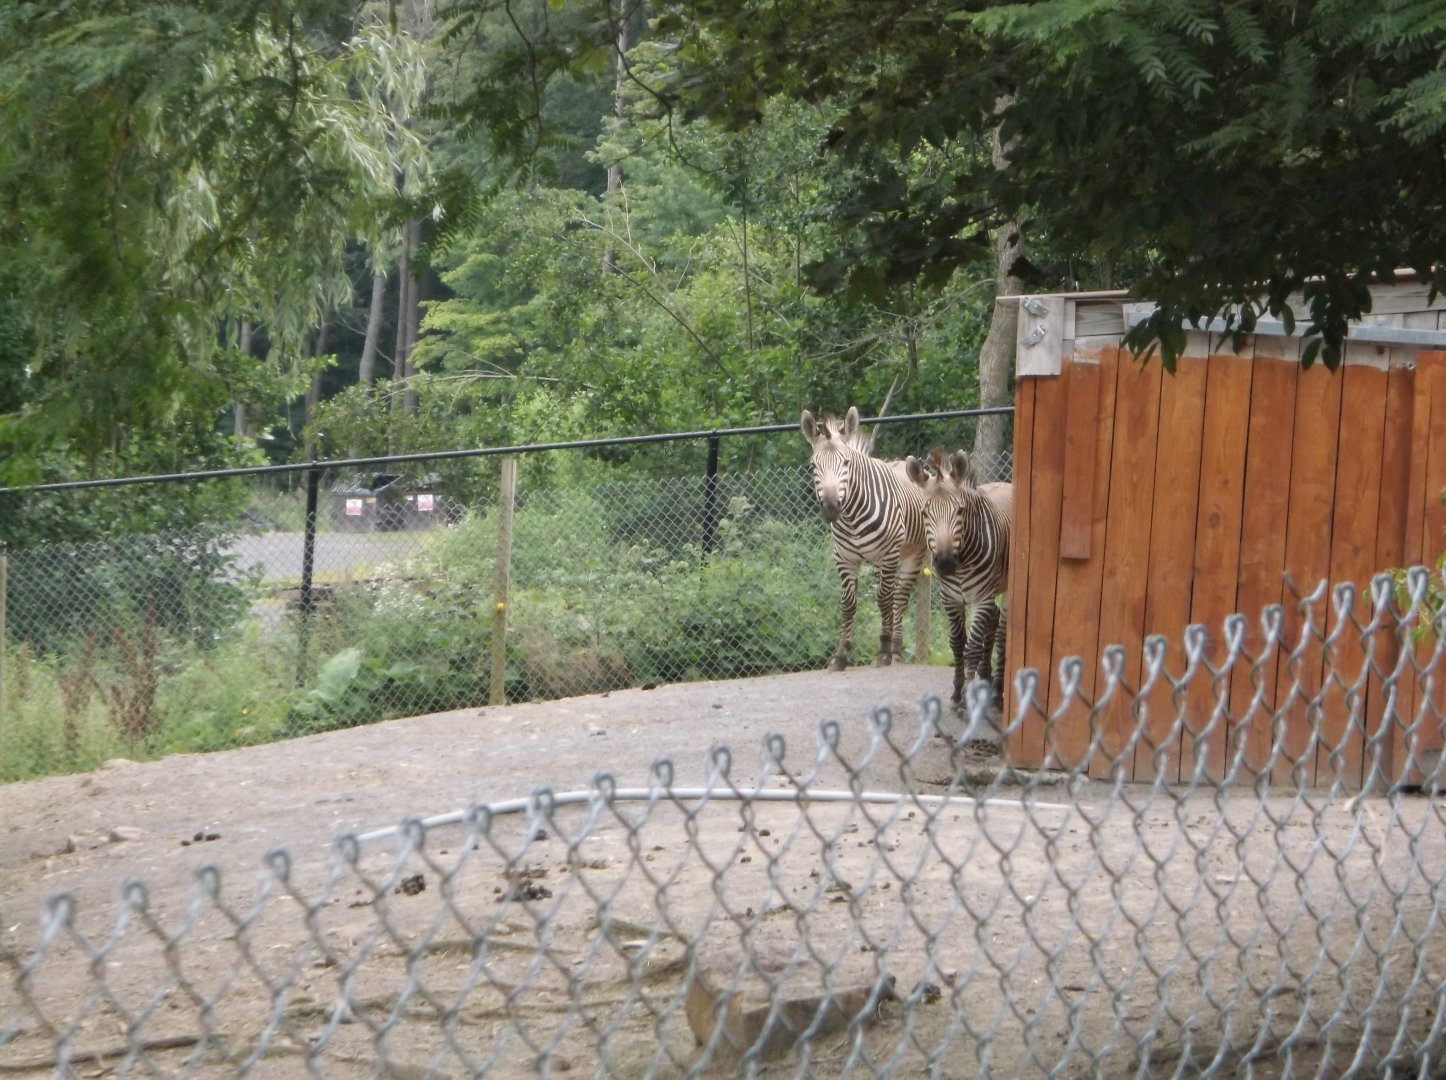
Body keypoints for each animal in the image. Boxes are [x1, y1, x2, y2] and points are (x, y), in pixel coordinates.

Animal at [801, 406, 927, 671]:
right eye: (813, 465)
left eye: (846, 463)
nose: (830, 507)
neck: (852, 517)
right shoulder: (844, 558)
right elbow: (848, 604)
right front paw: (840, 655)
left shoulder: (887, 554)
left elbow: (884, 599)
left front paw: (884, 651)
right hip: (880, 562)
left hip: (910, 555)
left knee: (897, 597)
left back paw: (894, 649)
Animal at [905, 448, 1013, 709]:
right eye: (925, 513)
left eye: (960, 511)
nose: (945, 562)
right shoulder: (950, 598)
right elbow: (957, 643)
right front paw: (956, 691)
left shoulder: (980, 597)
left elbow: (971, 646)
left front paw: (966, 698)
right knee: (993, 621)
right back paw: (986, 678)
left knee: (1002, 632)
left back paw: (997, 692)